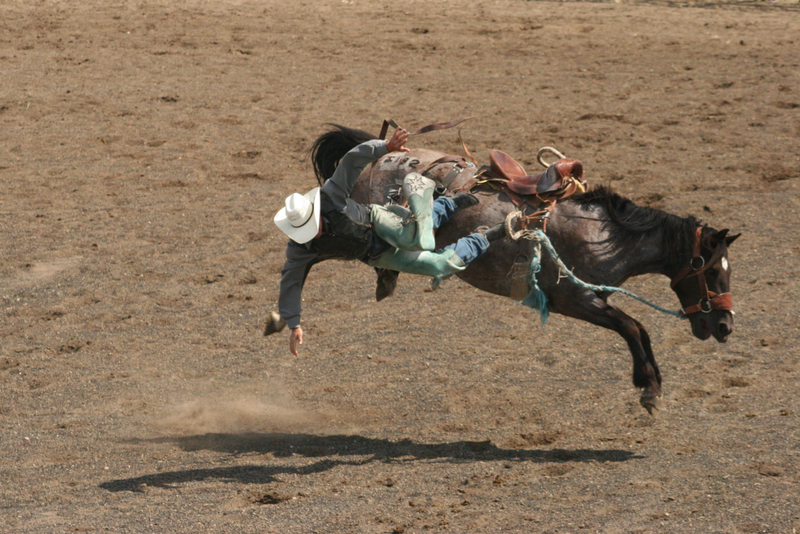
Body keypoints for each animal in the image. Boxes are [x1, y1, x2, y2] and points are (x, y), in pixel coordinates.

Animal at [304, 122, 736, 414]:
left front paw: (652, 382)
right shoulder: (575, 300)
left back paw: (385, 279)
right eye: (712, 271)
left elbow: (638, 329)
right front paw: (648, 387)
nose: (725, 326)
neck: (604, 233)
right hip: (357, 228)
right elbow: (633, 326)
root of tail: (382, 154)